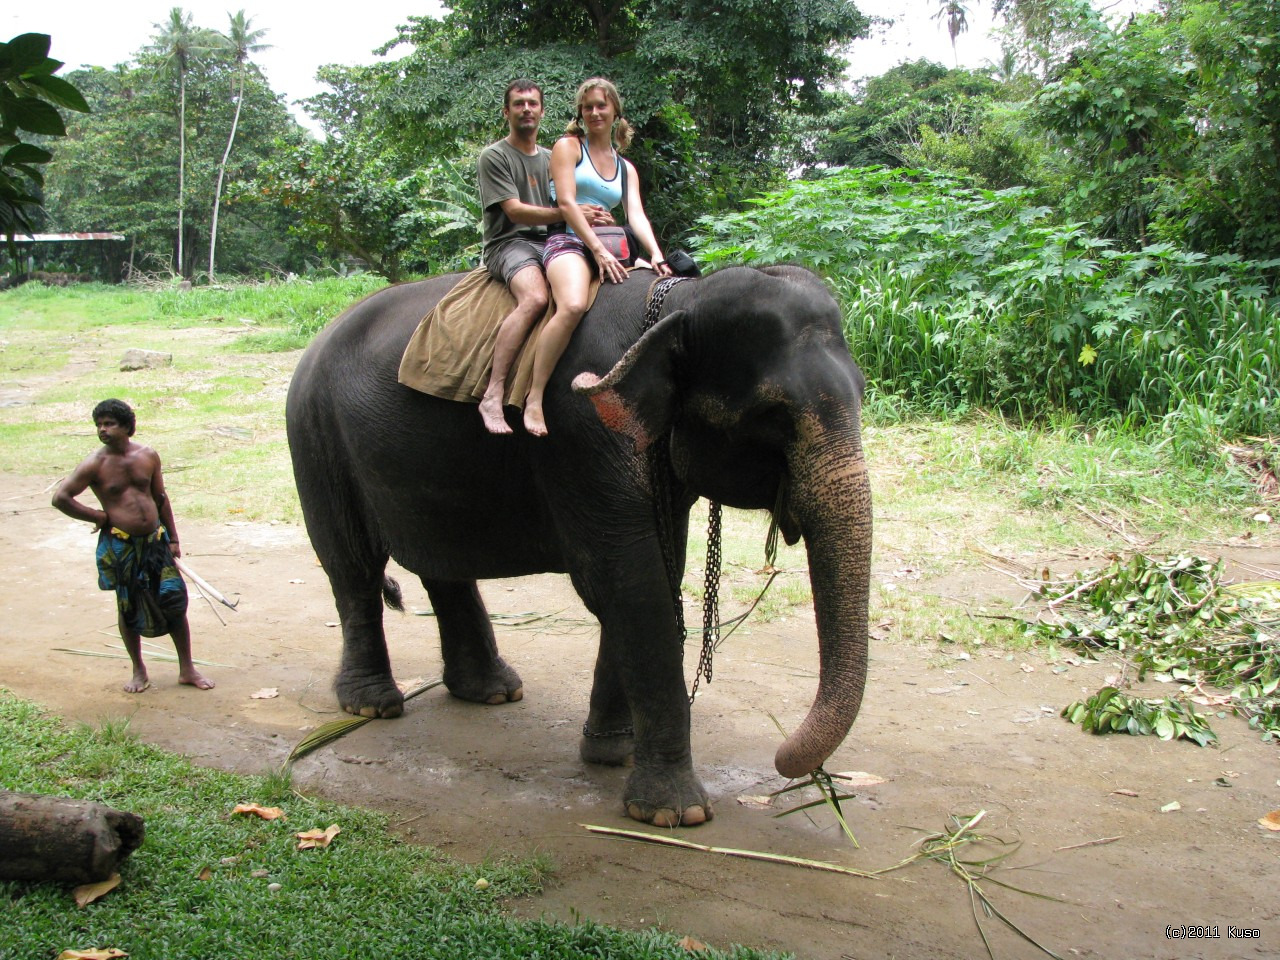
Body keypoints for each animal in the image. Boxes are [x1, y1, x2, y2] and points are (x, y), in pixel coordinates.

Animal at [286, 263, 875, 829]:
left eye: (863, 392)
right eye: (772, 415)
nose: (786, 761)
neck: (678, 300)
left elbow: (655, 574)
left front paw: (614, 754)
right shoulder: (579, 430)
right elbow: (628, 584)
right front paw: (674, 813)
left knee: (442, 565)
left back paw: (492, 691)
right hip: (313, 432)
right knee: (353, 567)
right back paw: (374, 706)